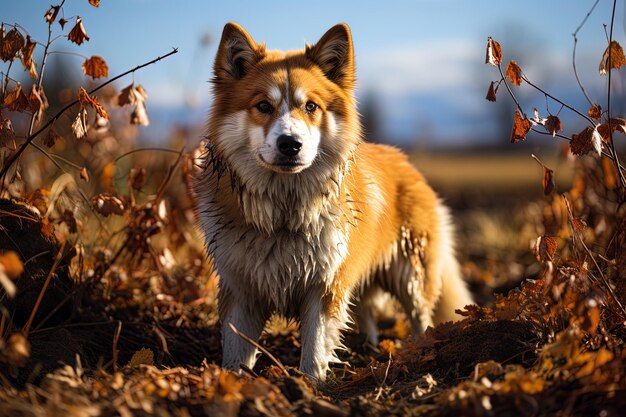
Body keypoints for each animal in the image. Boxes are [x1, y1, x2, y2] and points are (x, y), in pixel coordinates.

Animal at [193, 22, 470, 380]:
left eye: (311, 106)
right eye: (263, 106)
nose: (290, 144)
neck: (284, 215)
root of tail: (406, 161)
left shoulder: (325, 286)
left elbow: (314, 347)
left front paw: (310, 384)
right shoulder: (241, 289)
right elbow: (235, 351)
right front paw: (231, 382)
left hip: (410, 272)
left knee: (419, 314)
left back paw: (420, 348)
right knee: (365, 311)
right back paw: (366, 347)